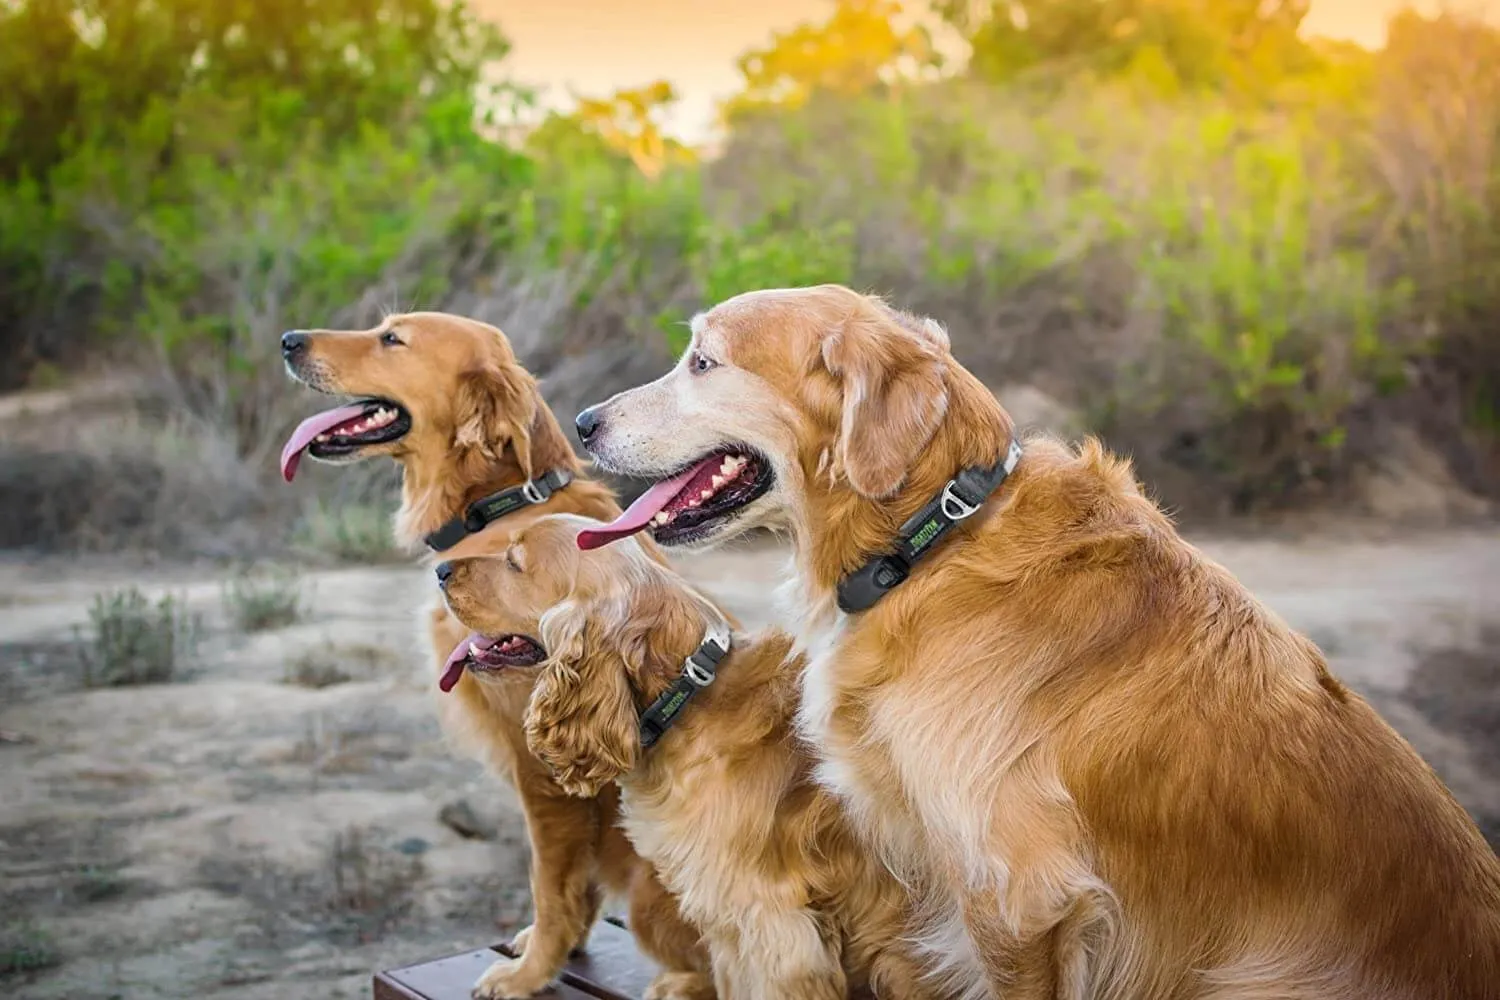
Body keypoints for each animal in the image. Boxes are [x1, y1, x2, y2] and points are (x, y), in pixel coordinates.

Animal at [282, 314, 714, 1000]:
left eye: (392, 339)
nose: (289, 341)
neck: (501, 504)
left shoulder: (545, 774)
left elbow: (550, 884)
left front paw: (532, 970)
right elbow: (569, 887)